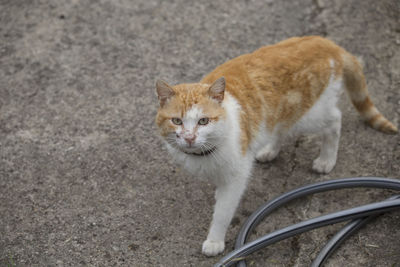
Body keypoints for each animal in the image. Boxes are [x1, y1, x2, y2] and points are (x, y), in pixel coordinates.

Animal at [153, 36, 396, 258]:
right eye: (177, 121)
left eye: (203, 121)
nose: (189, 137)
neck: (204, 153)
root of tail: (325, 42)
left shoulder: (236, 176)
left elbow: (223, 211)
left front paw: (215, 240)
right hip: (283, 111)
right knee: (281, 125)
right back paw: (269, 149)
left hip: (309, 115)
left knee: (335, 120)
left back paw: (327, 158)